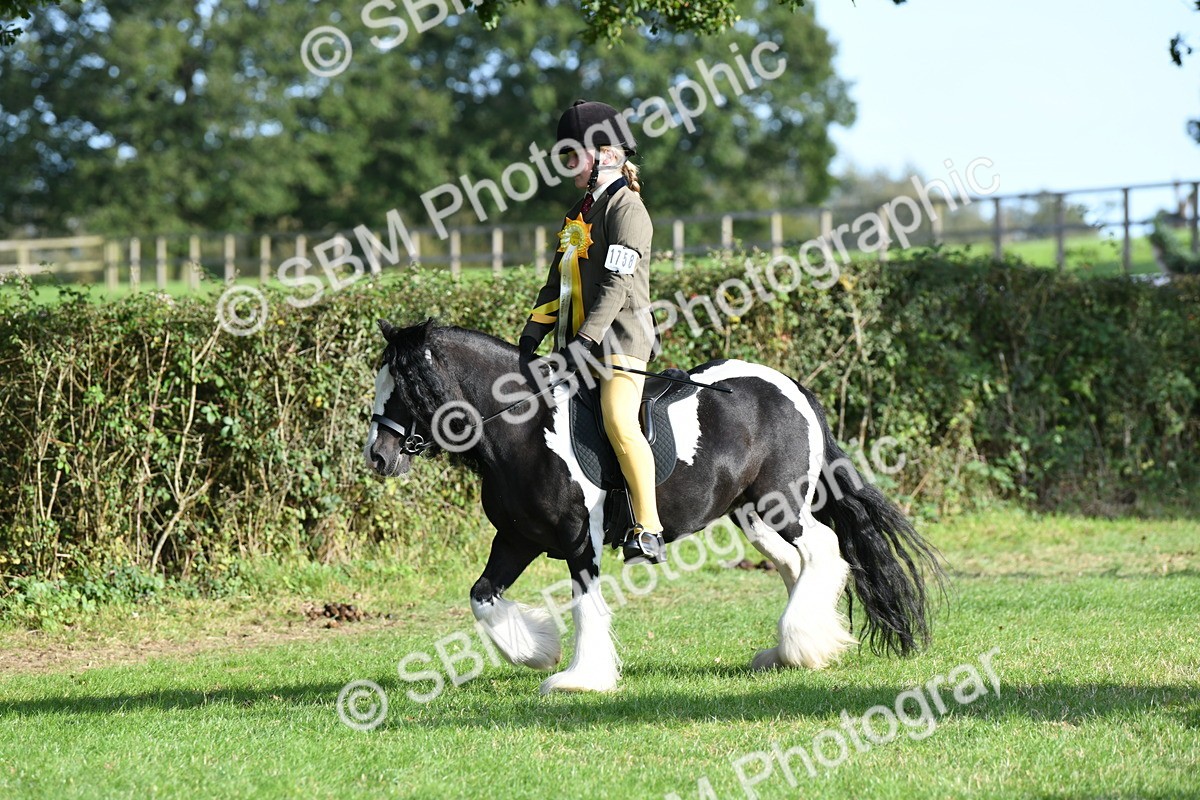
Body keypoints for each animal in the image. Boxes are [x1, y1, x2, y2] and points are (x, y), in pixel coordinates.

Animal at [364, 318, 943, 694]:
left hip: (784, 504)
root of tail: (791, 387)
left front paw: (579, 679)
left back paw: (801, 645)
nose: (378, 456)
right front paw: (539, 650)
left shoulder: (580, 540)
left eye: (404, 384)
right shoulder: (517, 538)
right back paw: (792, 651)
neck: (526, 428)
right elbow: (482, 596)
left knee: (823, 550)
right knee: (794, 565)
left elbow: (586, 605)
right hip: (751, 515)